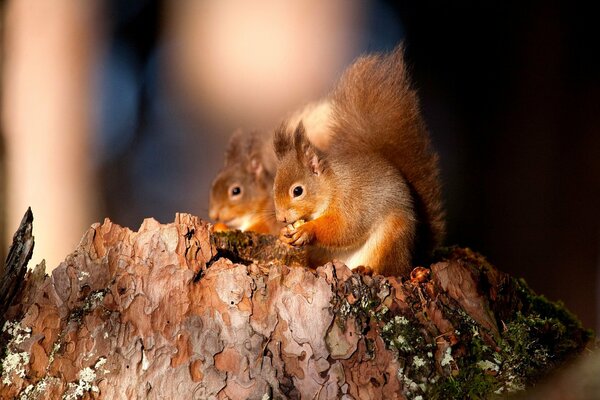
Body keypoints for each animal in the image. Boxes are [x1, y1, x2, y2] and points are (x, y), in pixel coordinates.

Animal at [274, 45, 442, 276]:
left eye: (297, 191)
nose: (280, 218)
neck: (333, 185)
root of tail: (411, 256)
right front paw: (283, 235)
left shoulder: (352, 202)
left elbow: (344, 227)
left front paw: (308, 230)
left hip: (391, 237)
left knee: (390, 269)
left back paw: (368, 269)